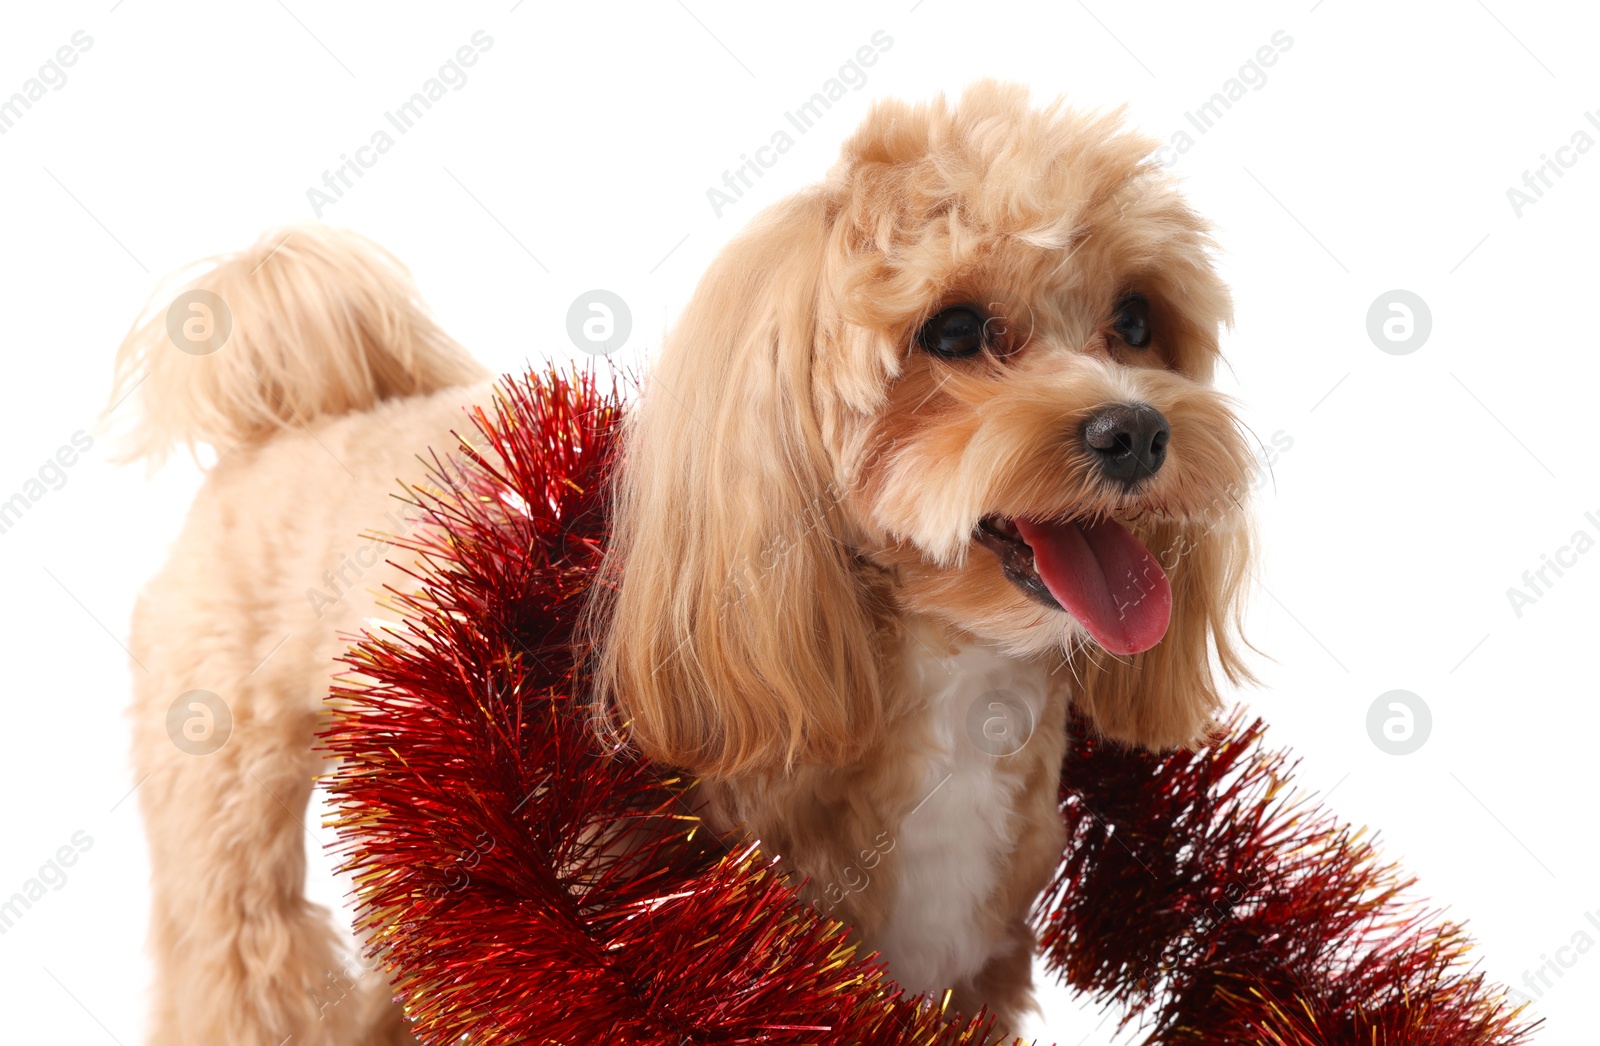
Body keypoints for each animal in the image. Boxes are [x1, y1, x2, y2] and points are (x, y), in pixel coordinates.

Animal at [118, 83, 1254, 1046]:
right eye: (955, 329)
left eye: (1137, 319)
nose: (1136, 431)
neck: (943, 675)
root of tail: (308, 413)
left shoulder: (966, 967)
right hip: (229, 792)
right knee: (238, 951)